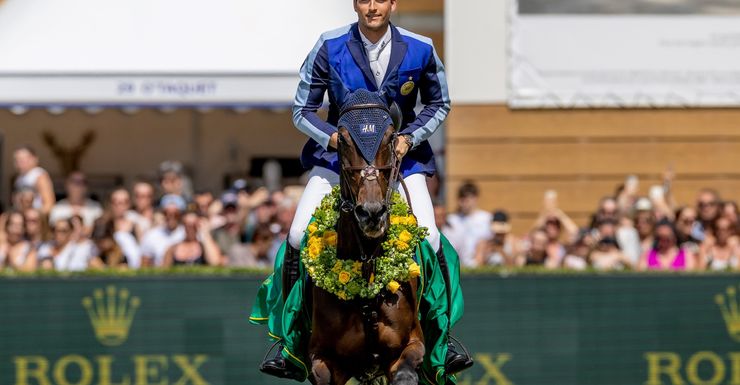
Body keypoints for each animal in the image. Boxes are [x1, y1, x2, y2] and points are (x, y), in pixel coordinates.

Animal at [306, 90, 422, 384]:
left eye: (391, 137)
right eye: (342, 140)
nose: (371, 213)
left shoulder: (411, 344)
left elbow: (406, 374)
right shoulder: (322, 357)